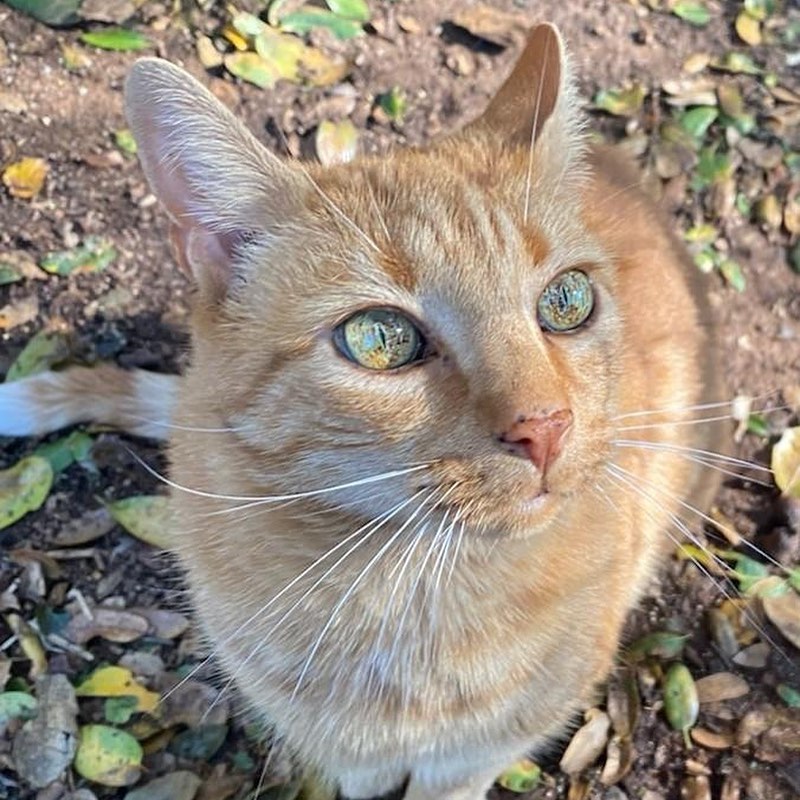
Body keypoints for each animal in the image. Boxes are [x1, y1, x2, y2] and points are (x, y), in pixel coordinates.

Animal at [0, 25, 720, 800]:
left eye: (567, 301)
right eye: (380, 338)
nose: (548, 426)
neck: (405, 591)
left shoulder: (472, 762)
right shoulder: (352, 760)